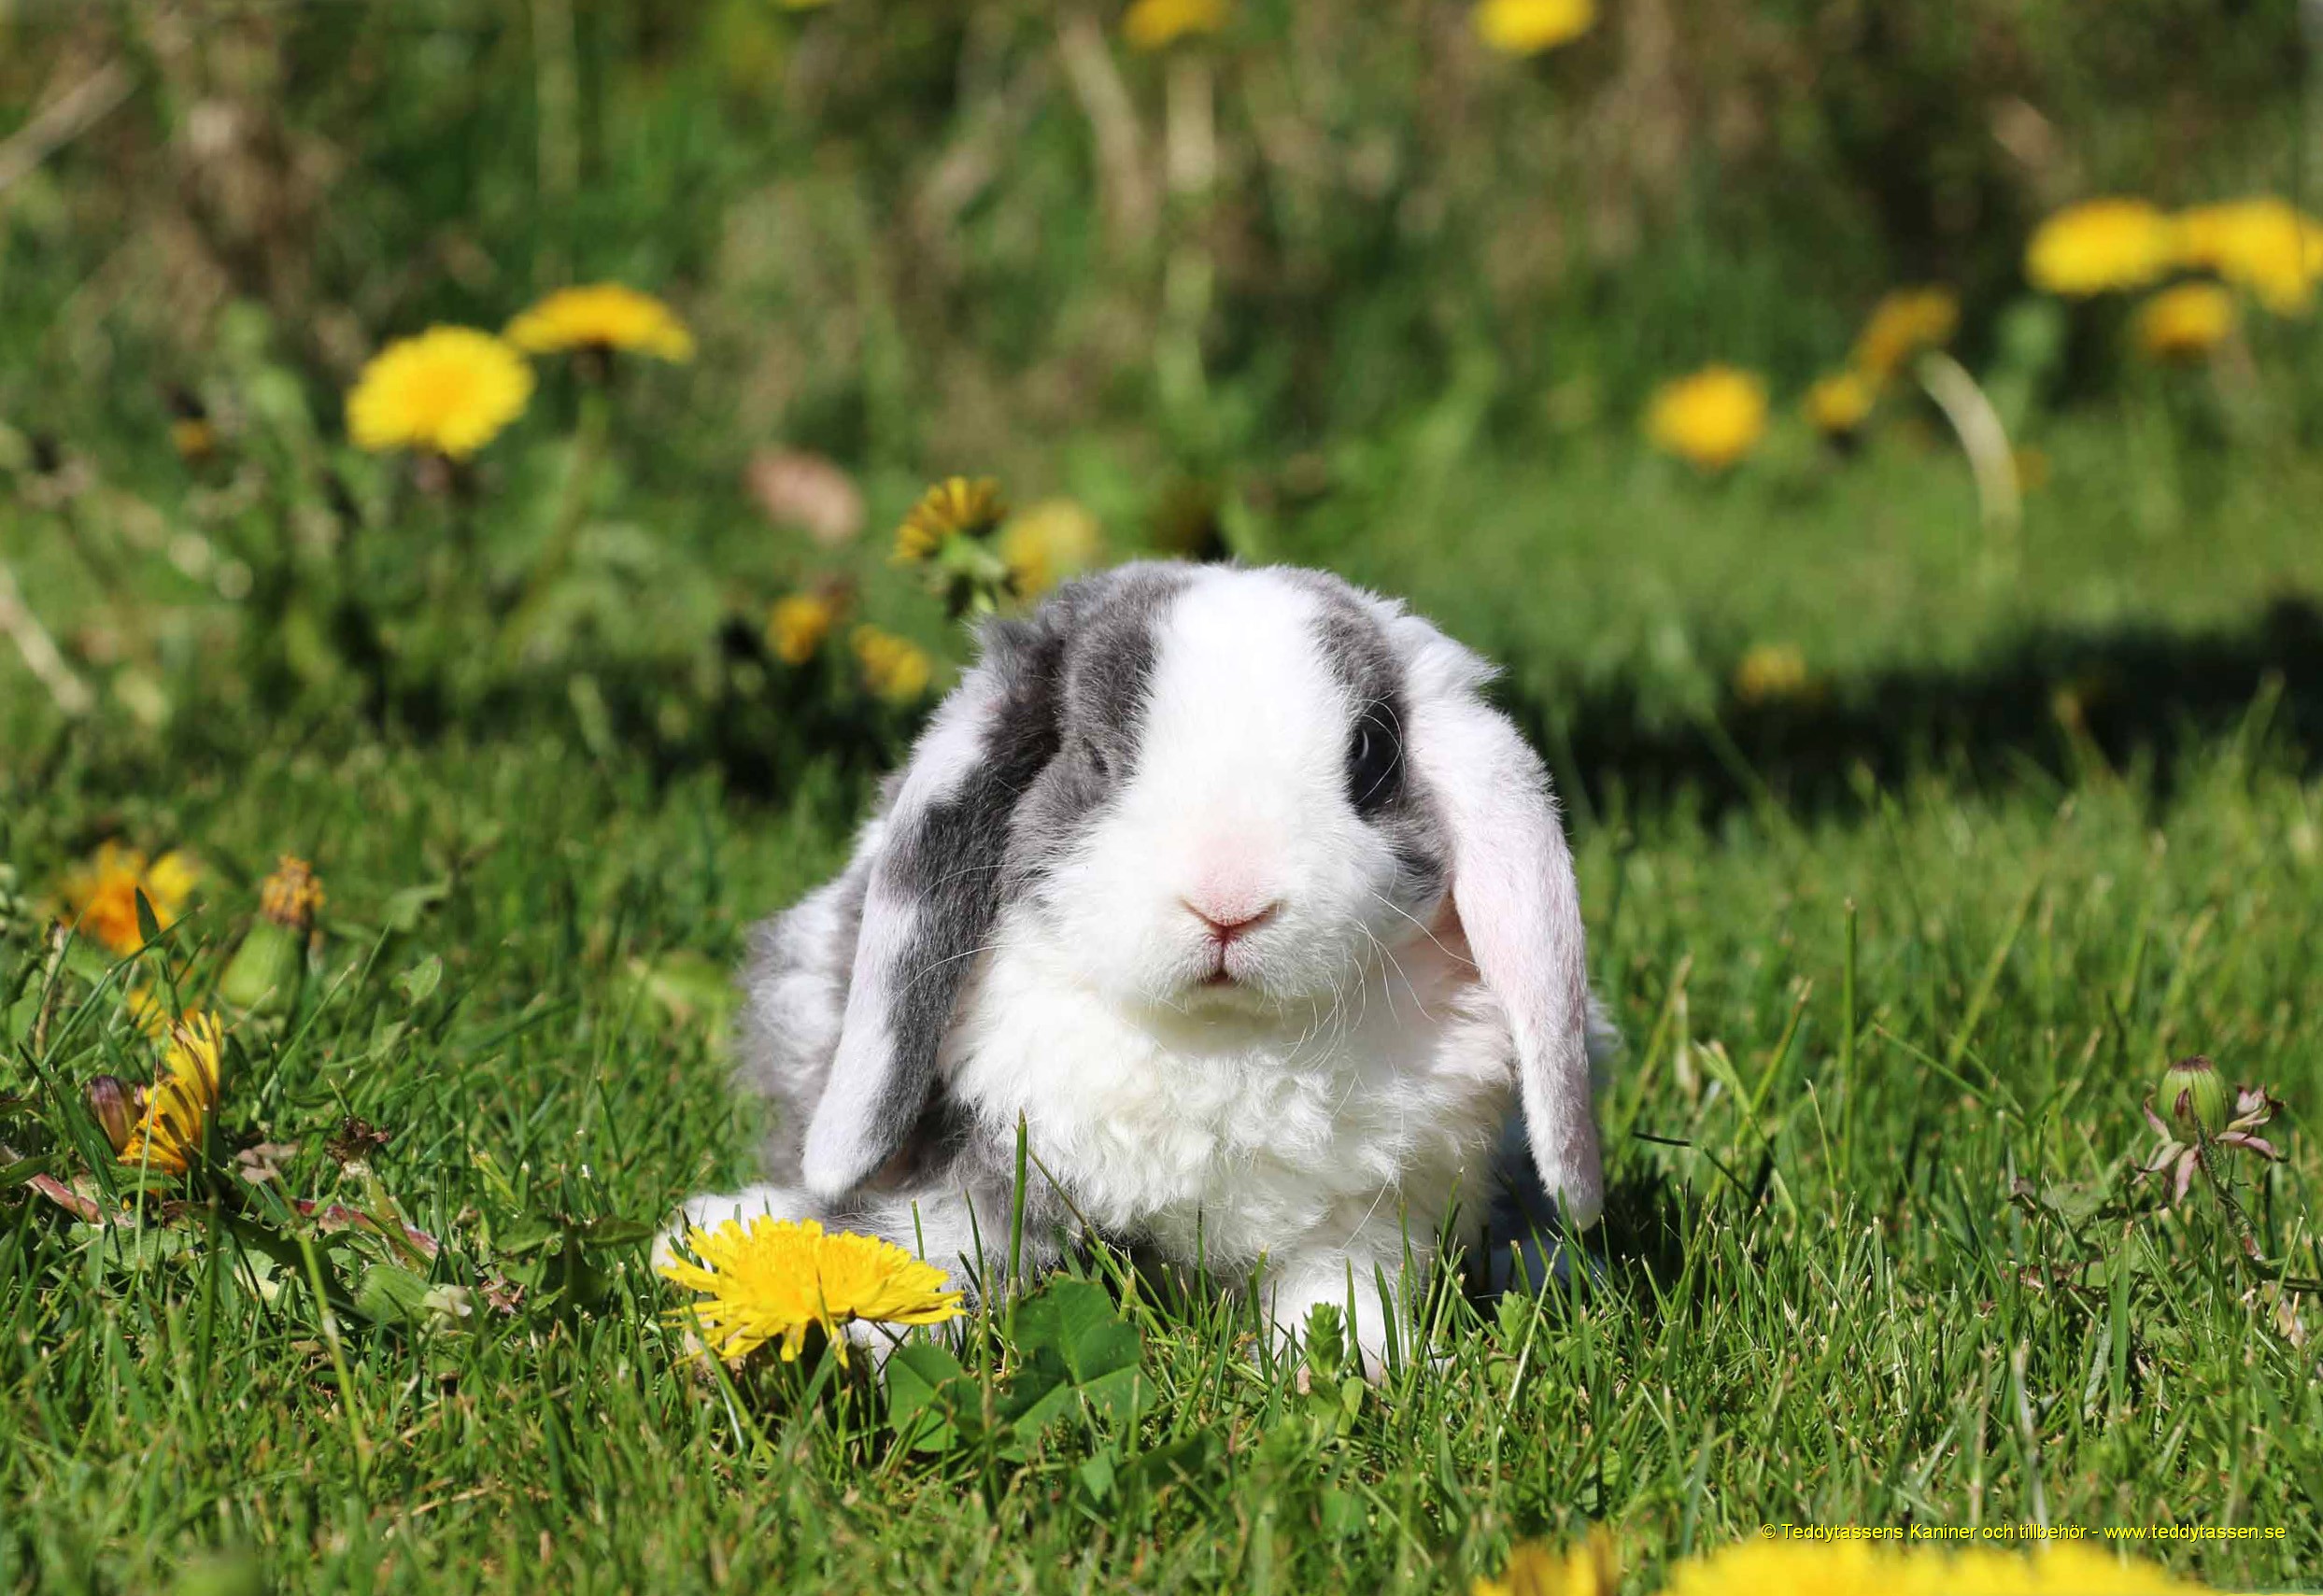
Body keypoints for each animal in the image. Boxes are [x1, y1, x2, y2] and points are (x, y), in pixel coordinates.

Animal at [664, 564, 1608, 1375]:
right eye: (1095, 756)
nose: (1229, 898)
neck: (1220, 1040)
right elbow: (934, 1247)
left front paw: (1361, 1371)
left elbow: (1337, 1297)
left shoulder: (1360, 1219)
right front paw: (844, 1324)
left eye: (1371, 758)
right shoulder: (994, 1159)